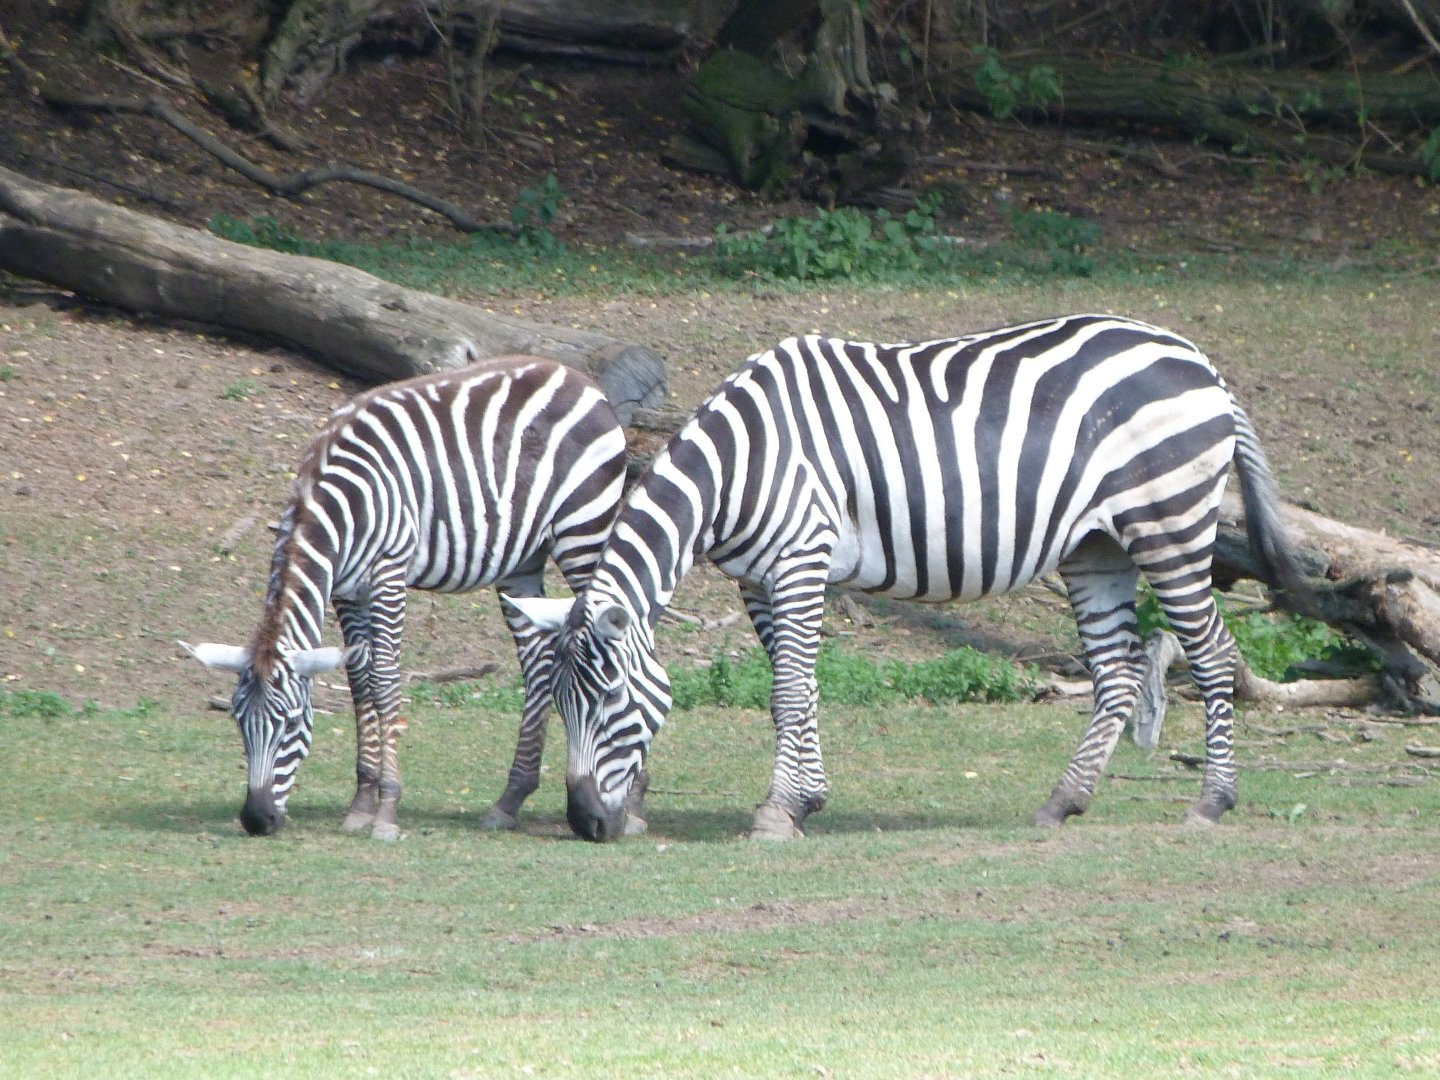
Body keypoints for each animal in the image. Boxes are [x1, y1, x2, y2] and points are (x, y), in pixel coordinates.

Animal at [182, 356, 627, 840]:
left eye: (293, 722)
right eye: (237, 720)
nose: (257, 820)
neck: (339, 503)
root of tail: (572, 373)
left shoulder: (388, 574)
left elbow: (385, 681)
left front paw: (387, 809)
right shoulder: (347, 591)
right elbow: (359, 681)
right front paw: (361, 801)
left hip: (583, 533)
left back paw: (629, 804)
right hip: (523, 561)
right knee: (539, 664)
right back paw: (510, 800)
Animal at [505, 314, 1312, 842]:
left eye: (608, 696)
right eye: (562, 702)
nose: (585, 824)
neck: (740, 463)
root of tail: (1197, 360)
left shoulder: (799, 559)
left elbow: (789, 690)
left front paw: (777, 813)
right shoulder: (759, 580)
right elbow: (799, 690)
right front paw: (808, 799)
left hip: (1168, 524)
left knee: (1213, 655)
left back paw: (1212, 801)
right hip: (1097, 548)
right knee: (1116, 675)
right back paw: (1063, 802)